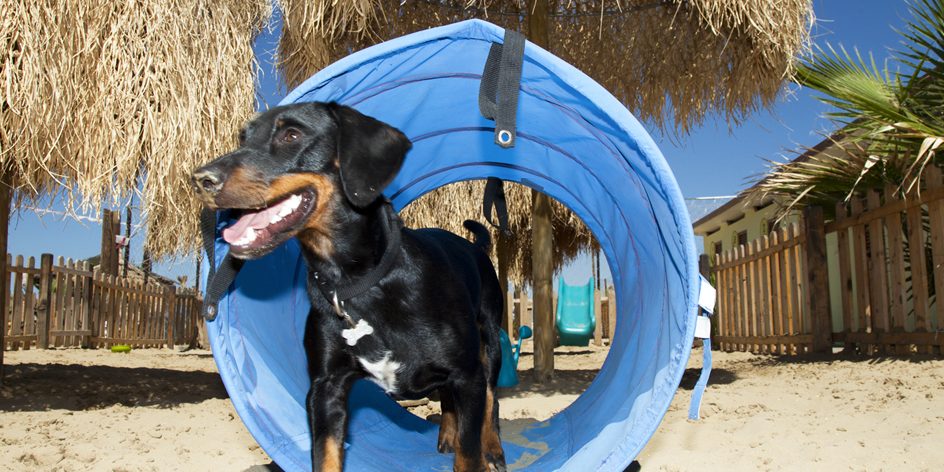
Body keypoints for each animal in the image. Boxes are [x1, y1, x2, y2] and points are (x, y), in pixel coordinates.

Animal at [191, 101, 508, 470]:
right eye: (243, 138)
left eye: (292, 134)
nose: (201, 180)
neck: (358, 285)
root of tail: (475, 247)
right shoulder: (325, 389)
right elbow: (325, 456)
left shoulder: (467, 376)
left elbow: (470, 451)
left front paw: (478, 450)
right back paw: (447, 434)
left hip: (490, 345)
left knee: (491, 401)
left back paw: (494, 449)